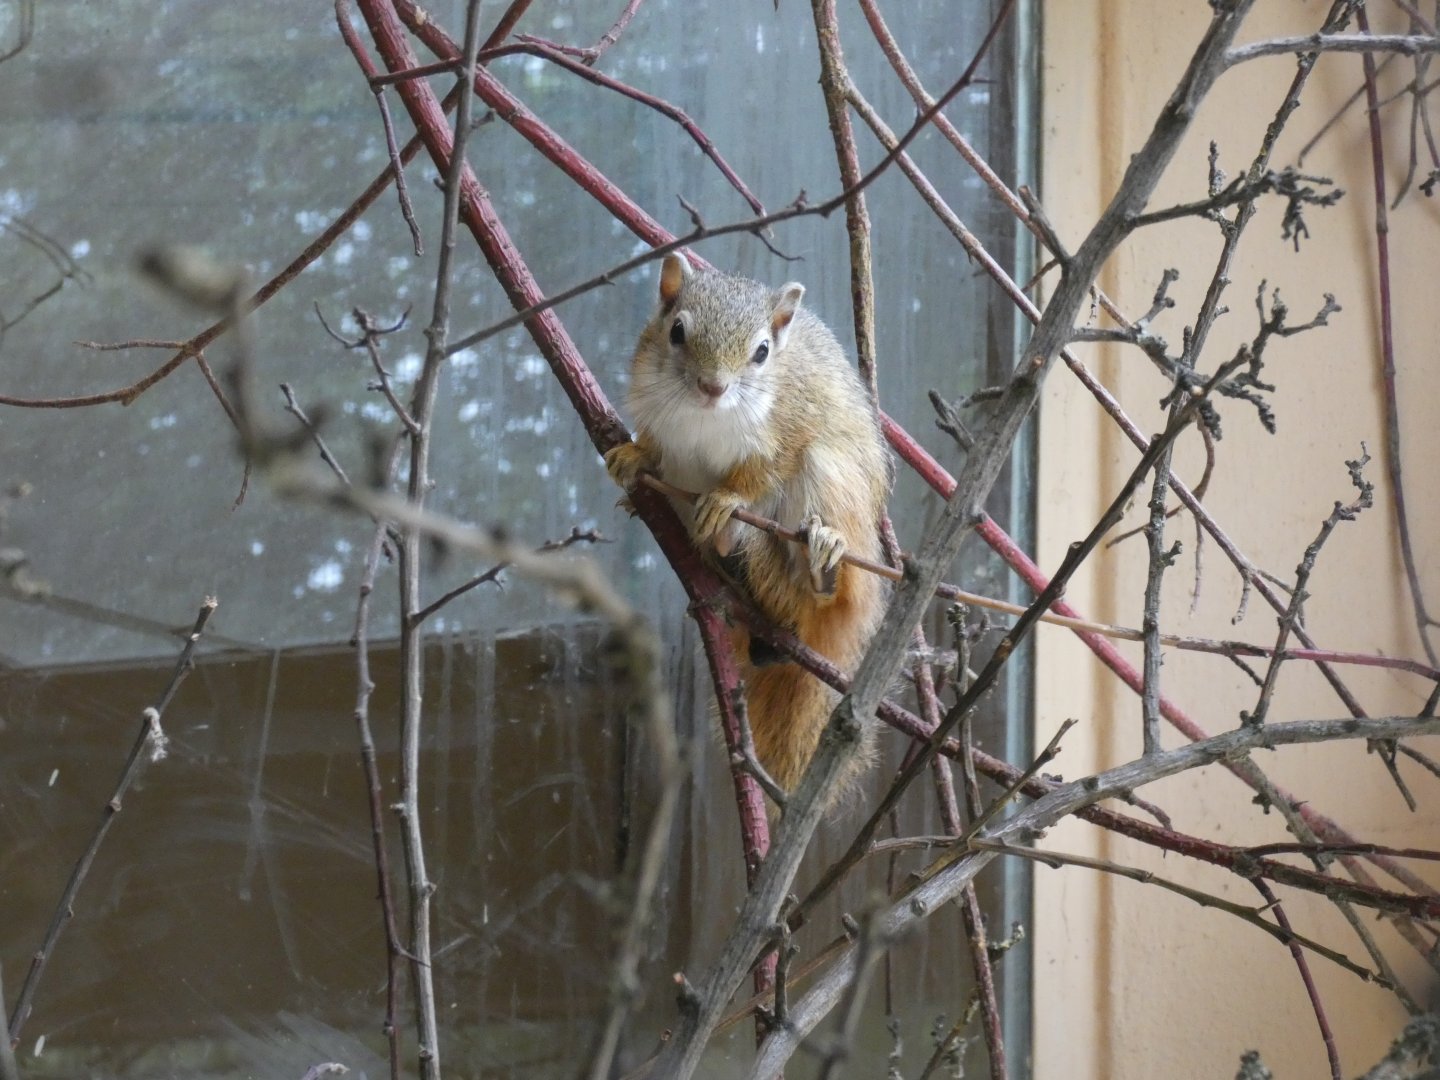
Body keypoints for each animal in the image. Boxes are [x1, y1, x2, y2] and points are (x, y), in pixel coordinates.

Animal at [605, 253, 891, 809]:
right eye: (676, 332)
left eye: (762, 352)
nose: (713, 388)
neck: (706, 418)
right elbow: (655, 450)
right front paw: (632, 458)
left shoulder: (789, 427)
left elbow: (761, 473)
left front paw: (726, 500)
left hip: (830, 478)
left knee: (825, 588)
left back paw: (820, 563)